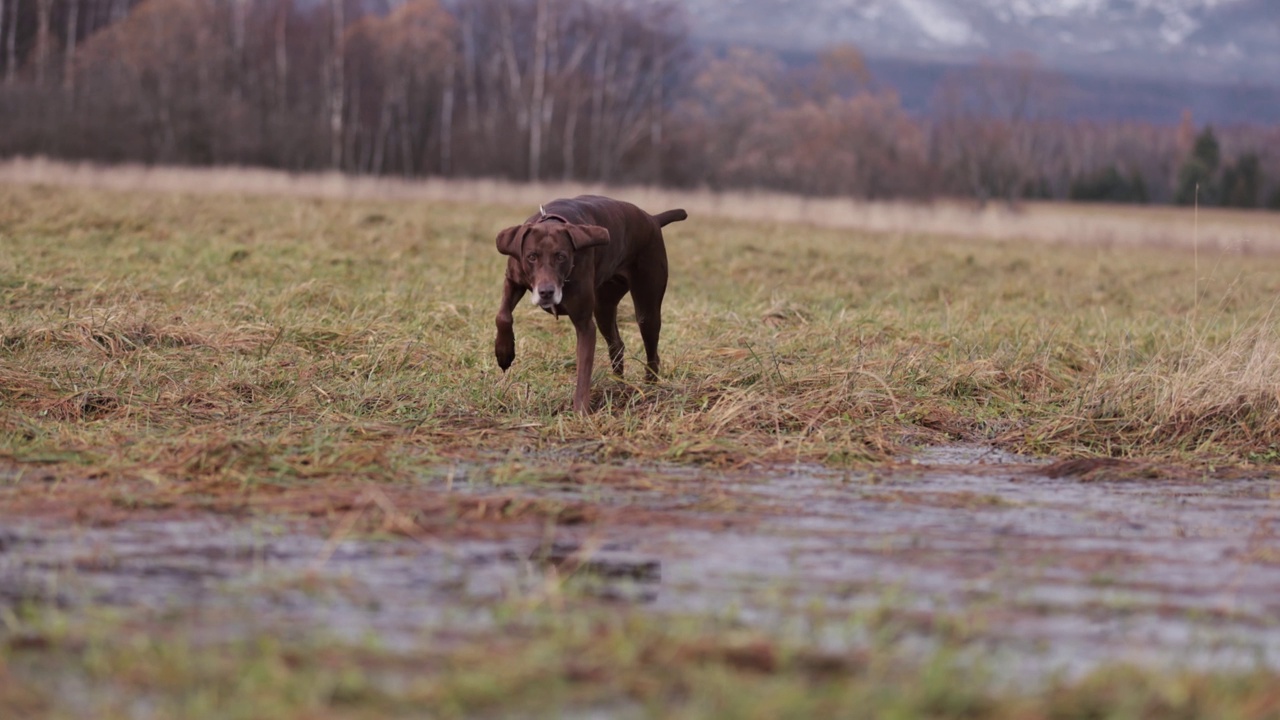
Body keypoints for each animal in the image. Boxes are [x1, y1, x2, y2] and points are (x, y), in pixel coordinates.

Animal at [491, 194, 691, 409]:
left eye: (561, 256)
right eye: (531, 257)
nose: (546, 293)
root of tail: (653, 219)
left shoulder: (584, 324)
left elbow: (584, 370)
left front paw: (580, 411)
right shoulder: (513, 279)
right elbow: (502, 316)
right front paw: (504, 353)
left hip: (648, 305)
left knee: (652, 352)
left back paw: (649, 389)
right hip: (604, 306)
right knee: (616, 345)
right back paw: (619, 386)